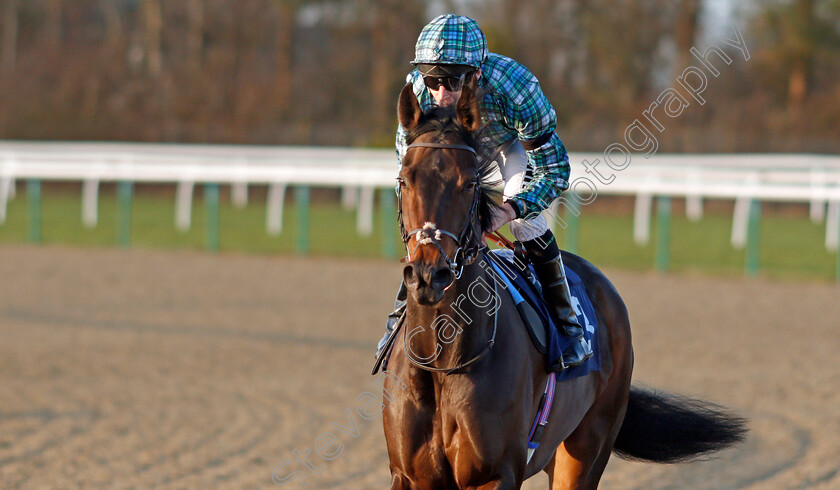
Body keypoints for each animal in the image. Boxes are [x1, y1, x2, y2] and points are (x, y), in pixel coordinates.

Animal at [382, 82, 748, 488]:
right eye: (403, 179)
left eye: (470, 182)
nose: (430, 274)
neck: (441, 360)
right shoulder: (409, 475)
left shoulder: (496, 473)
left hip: (587, 446)